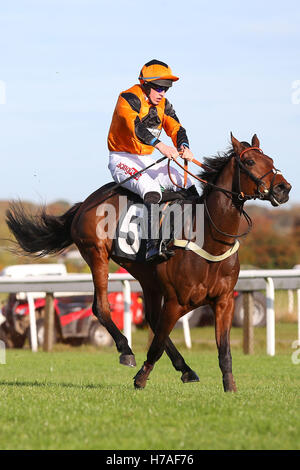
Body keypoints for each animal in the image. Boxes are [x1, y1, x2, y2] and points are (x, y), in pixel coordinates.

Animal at [5, 134, 290, 392]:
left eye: (271, 160)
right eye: (250, 161)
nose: (283, 188)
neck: (210, 240)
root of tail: (85, 203)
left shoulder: (224, 301)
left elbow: (224, 348)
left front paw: (229, 386)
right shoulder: (176, 301)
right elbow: (156, 343)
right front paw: (141, 377)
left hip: (147, 277)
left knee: (151, 317)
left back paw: (185, 368)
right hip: (96, 254)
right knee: (102, 308)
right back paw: (126, 350)